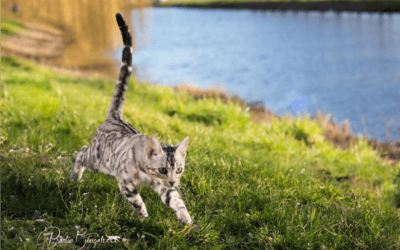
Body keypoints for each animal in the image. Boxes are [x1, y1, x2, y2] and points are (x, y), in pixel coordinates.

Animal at [71, 12, 192, 226]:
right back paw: (75, 177)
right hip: (98, 161)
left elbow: (175, 199)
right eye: (163, 169)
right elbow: (136, 201)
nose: (173, 181)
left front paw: (185, 217)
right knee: (82, 152)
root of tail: (115, 116)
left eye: (179, 170)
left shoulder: (164, 187)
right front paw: (144, 219)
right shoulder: (126, 182)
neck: (148, 177)